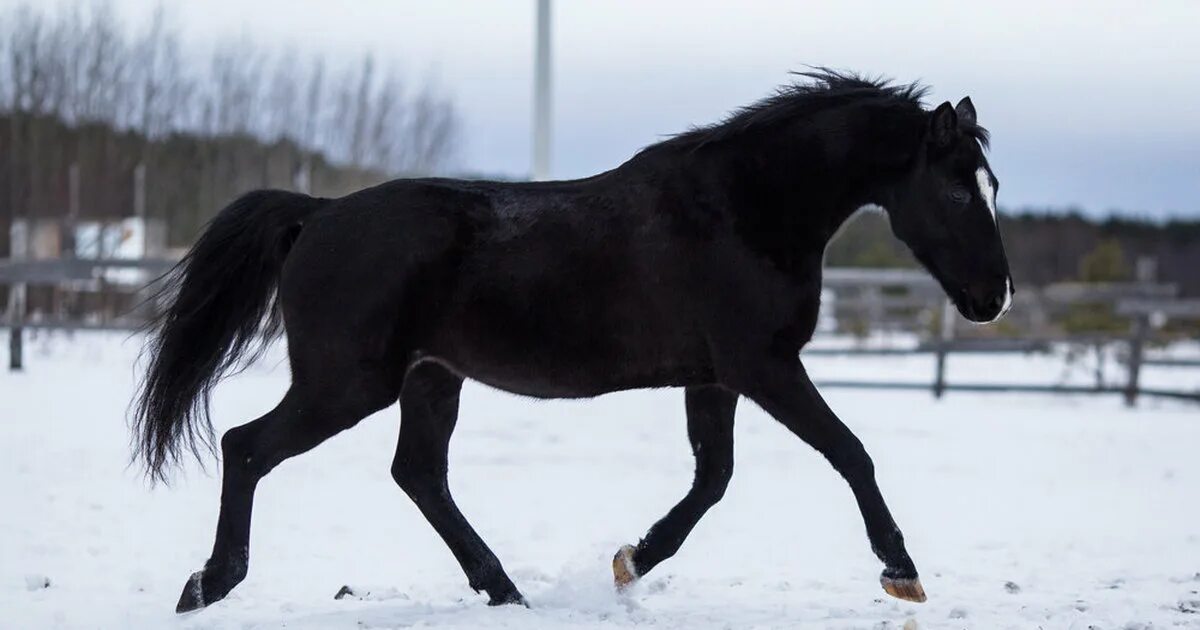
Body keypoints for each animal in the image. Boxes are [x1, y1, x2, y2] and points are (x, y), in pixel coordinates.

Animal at [133, 71, 1012, 612]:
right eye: (955, 188)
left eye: (991, 183)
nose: (994, 297)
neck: (746, 210)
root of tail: (315, 214)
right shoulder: (764, 366)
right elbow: (849, 452)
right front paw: (902, 574)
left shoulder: (716, 377)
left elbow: (713, 480)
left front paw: (629, 562)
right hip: (348, 383)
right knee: (248, 446)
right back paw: (208, 584)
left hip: (430, 379)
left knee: (418, 475)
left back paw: (507, 592)